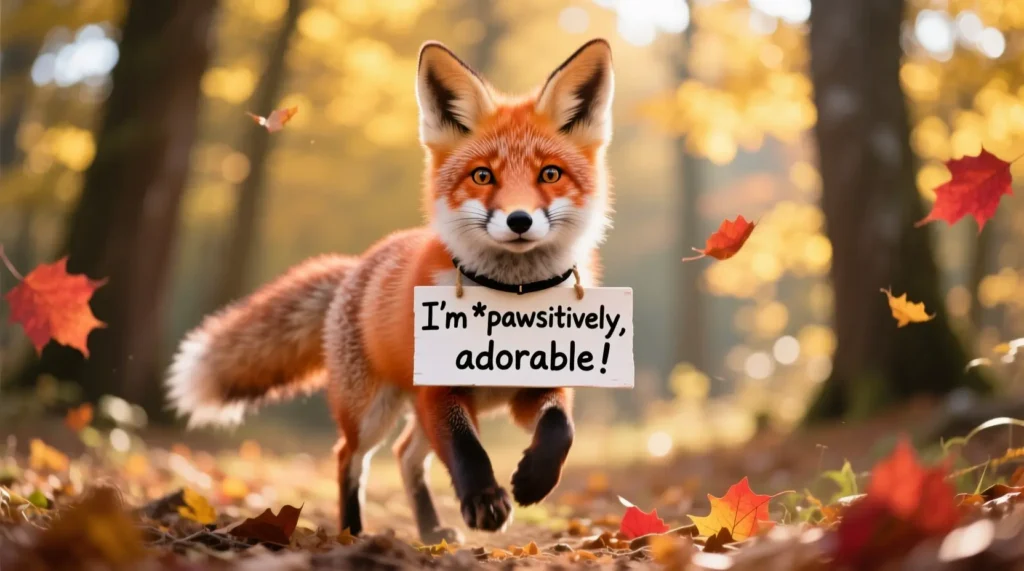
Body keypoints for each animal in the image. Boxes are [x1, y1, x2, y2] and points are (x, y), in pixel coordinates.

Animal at [166, 39, 615, 544]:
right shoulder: (441, 392)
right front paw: (484, 499)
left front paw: (535, 479)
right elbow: (467, 450)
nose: (519, 220)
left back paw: (430, 529)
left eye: (550, 174)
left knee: (404, 455)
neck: (509, 303)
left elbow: (561, 428)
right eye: (483, 176)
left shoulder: (538, 385)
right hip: (372, 413)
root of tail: (356, 266)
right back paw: (354, 532)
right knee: (349, 456)